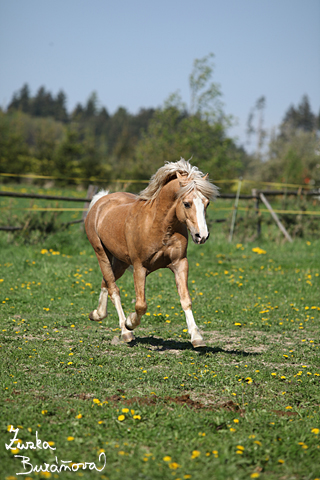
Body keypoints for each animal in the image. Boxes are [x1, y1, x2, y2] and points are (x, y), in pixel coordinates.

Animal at [85, 159, 218, 346]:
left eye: (207, 203)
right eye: (186, 203)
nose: (202, 236)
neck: (160, 225)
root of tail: (100, 201)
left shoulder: (180, 263)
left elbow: (186, 300)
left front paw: (196, 337)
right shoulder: (140, 267)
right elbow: (141, 305)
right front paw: (130, 322)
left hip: (120, 262)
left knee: (106, 283)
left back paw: (97, 314)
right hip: (101, 254)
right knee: (114, 289)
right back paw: (125, 332)